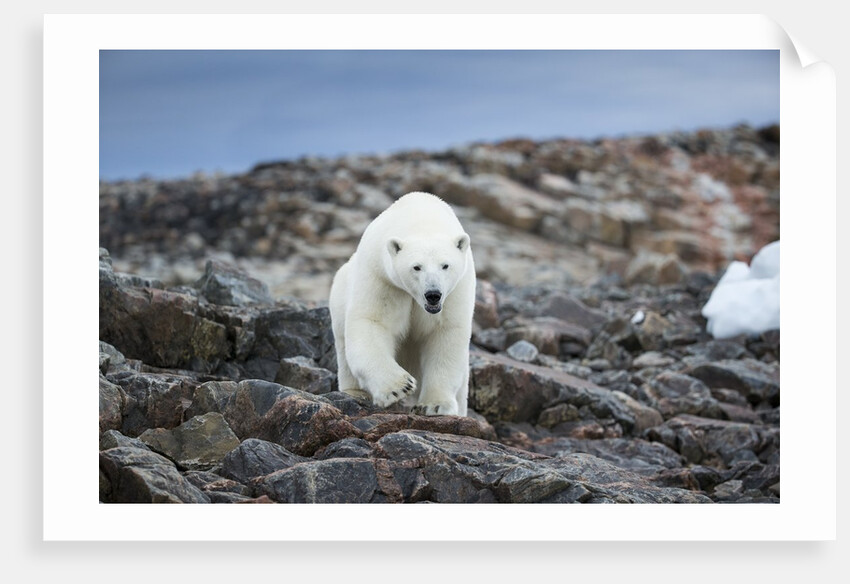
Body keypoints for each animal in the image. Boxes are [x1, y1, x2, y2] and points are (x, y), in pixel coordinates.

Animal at [328, 191, 476, 416]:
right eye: (416, 267)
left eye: (445, 265)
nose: (433, 294)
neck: (420, 219)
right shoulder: (382, 277)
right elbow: (373, 321)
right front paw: (400, 387)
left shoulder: (456, 290)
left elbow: (445, 334)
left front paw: (435, 405)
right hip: (339, 297)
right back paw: (355, 393)